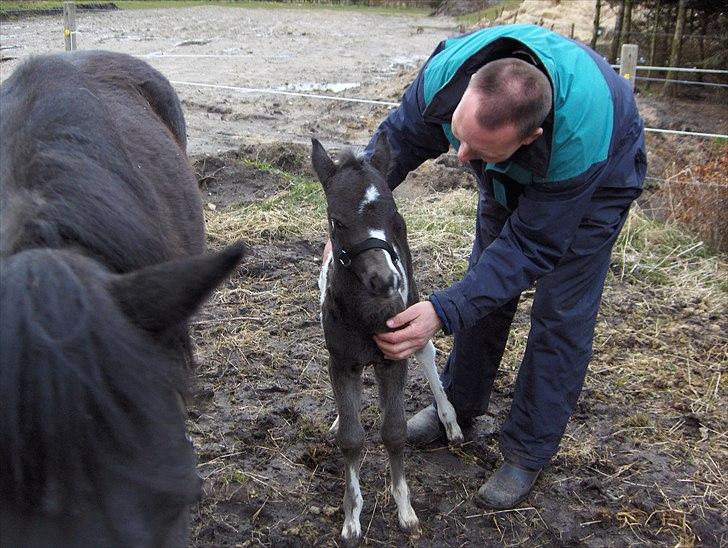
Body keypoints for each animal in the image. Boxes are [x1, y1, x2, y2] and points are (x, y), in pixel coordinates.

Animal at [312, 135, 460, 544]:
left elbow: (394, 432)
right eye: (337, 221)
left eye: (395, 218)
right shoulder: (341, 361)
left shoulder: (394, 357)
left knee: (427, 352)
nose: (385, 281)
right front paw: (351, 519)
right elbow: (352, 437)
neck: (367, 316)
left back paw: (451, 423)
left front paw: (406, 511)